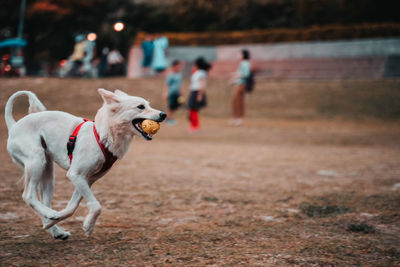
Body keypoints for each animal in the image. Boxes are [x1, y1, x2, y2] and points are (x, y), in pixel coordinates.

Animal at [5, 89, 164, 240]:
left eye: (148, 105)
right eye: (140, 106)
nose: (163, 114)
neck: (103, 137)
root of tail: (13, 126)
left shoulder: (86, 179)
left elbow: (72, 207)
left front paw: (56, 220)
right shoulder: (75, 174)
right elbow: (96, 206)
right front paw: (88, 227)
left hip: (48, 174)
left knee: (44, 200)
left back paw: (54, 227)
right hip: (36, 161)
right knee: (28, 195)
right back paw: (50, 214)